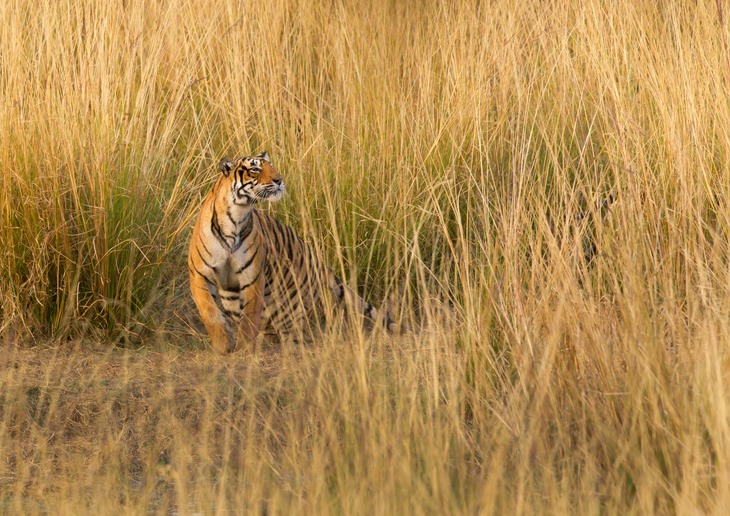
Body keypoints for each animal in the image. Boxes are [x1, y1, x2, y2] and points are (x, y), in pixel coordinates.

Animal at [185, 151, 396, 352]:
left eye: (271, 167)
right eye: (255, 169)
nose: (279, 180)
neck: (237, 216)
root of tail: (314, 256)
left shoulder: (252, 277)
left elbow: (249, 317)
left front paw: (244, 347)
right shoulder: (199, 274)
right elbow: (209, 311)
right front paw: (224, 345)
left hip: (289, 302)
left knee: (289, 329)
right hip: (233, 297)